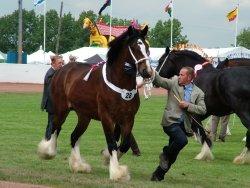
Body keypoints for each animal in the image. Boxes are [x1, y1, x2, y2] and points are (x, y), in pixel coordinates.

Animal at [37, 25, 153, 180]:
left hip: (84, 116)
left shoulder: (128, 118)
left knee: (74, 136)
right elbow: (112, 143)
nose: (147, 72)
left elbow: (125, 144)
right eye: (134, 47)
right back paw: (47, 152)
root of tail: (62, 70)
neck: (120, 85)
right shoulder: (107, 118)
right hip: (61, 110)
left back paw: (78, 166)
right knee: (55, 128)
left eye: (147, 46)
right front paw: (116, 172)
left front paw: (107, 158)